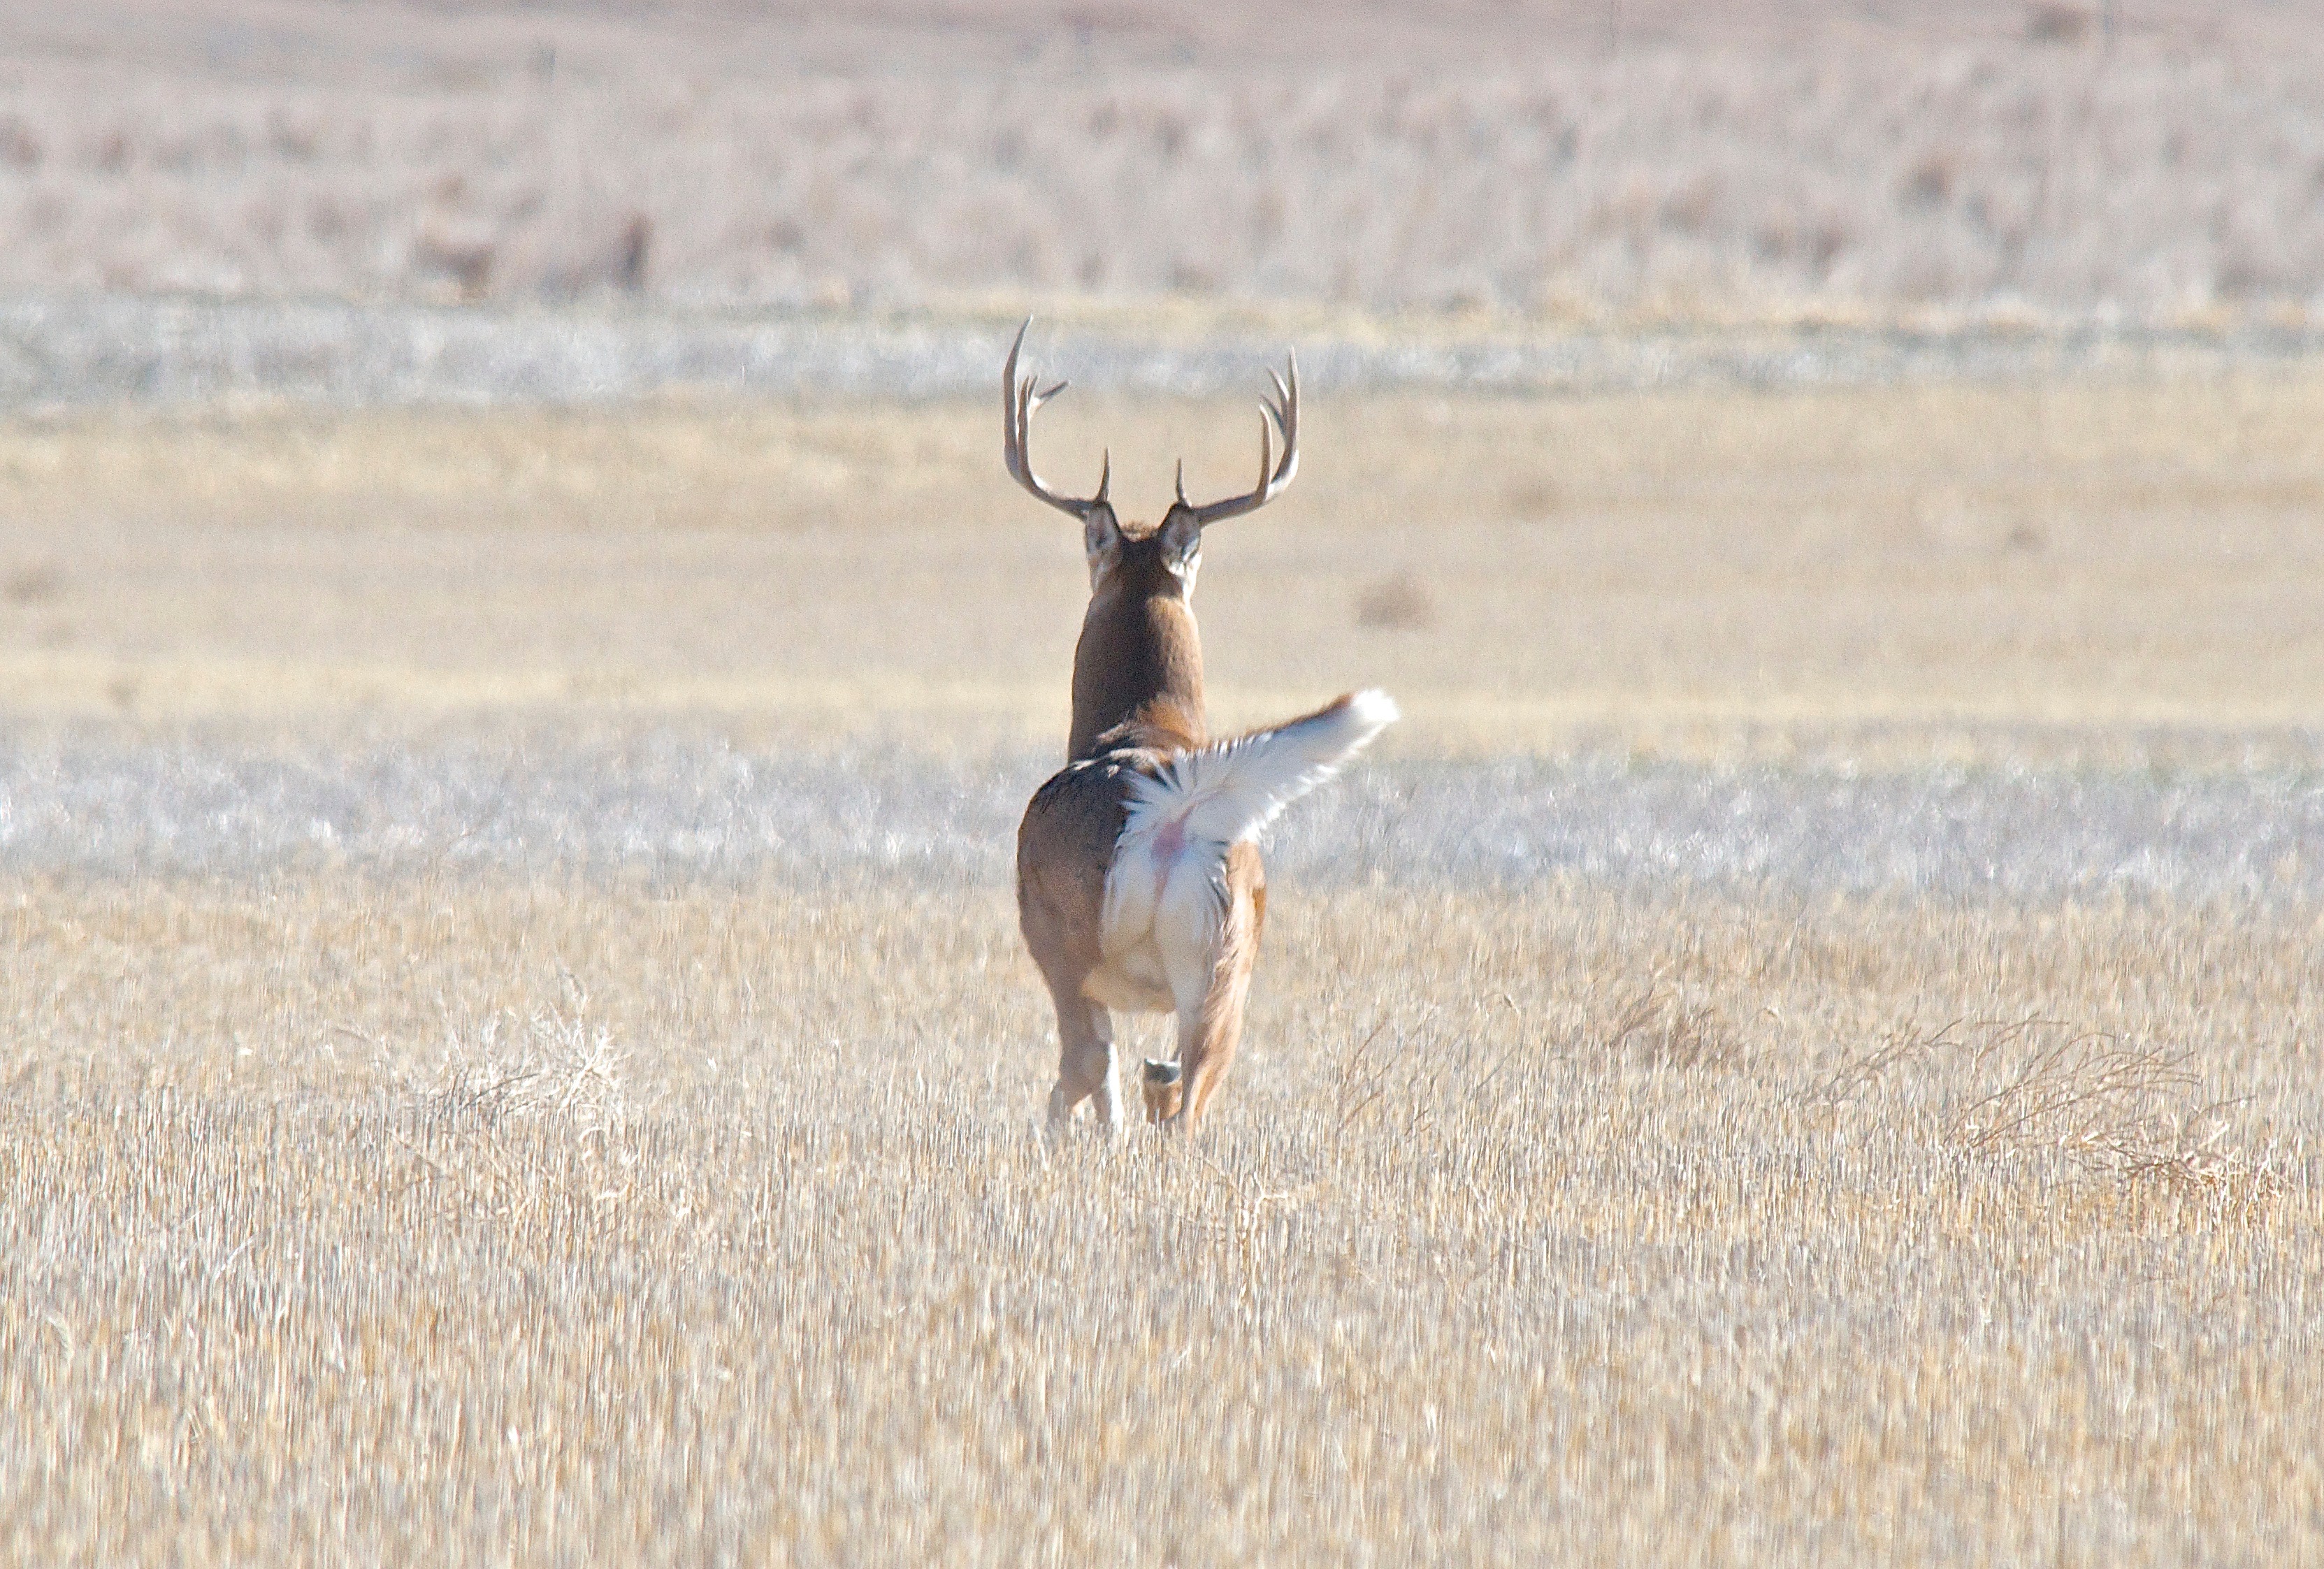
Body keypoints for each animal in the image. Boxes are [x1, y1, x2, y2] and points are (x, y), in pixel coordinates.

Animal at [1004, 323, 1394, 1129]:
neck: (1137, 724)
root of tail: (1175, 812)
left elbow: (1104, 1081)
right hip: (1227, 965)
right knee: (1188, 1088)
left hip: (1068, 944)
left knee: (1088, 1064)